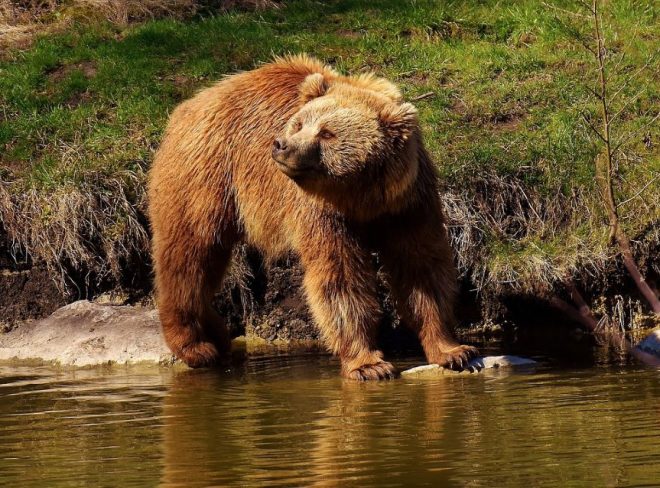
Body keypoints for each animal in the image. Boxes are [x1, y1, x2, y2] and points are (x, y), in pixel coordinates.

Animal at [147, 55, 478, 379]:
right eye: (299, 123)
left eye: (327, 133)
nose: (281, 144)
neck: (362, 197)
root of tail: (188, 105)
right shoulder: (322, 212)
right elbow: (340, 277)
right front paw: (368, 363)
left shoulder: (407, 203)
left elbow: (421, 269)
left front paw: (453, 350)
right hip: (207, 176)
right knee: (190, 255)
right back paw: (194, 345)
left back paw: (217, 335)